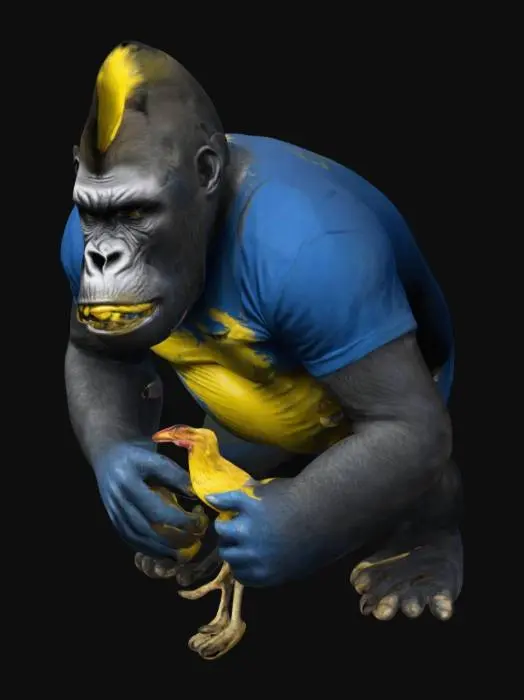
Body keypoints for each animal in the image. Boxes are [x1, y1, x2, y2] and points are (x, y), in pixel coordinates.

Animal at [61, 41, 462, 624]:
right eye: (94, 216)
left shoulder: (324, 261)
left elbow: (405, 423)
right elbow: (97, 354)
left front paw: (279, 533)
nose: (101, 256)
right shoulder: (70, 242)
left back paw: (422, 555)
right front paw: (130, 483)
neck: (212, 217)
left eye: (136, 212)